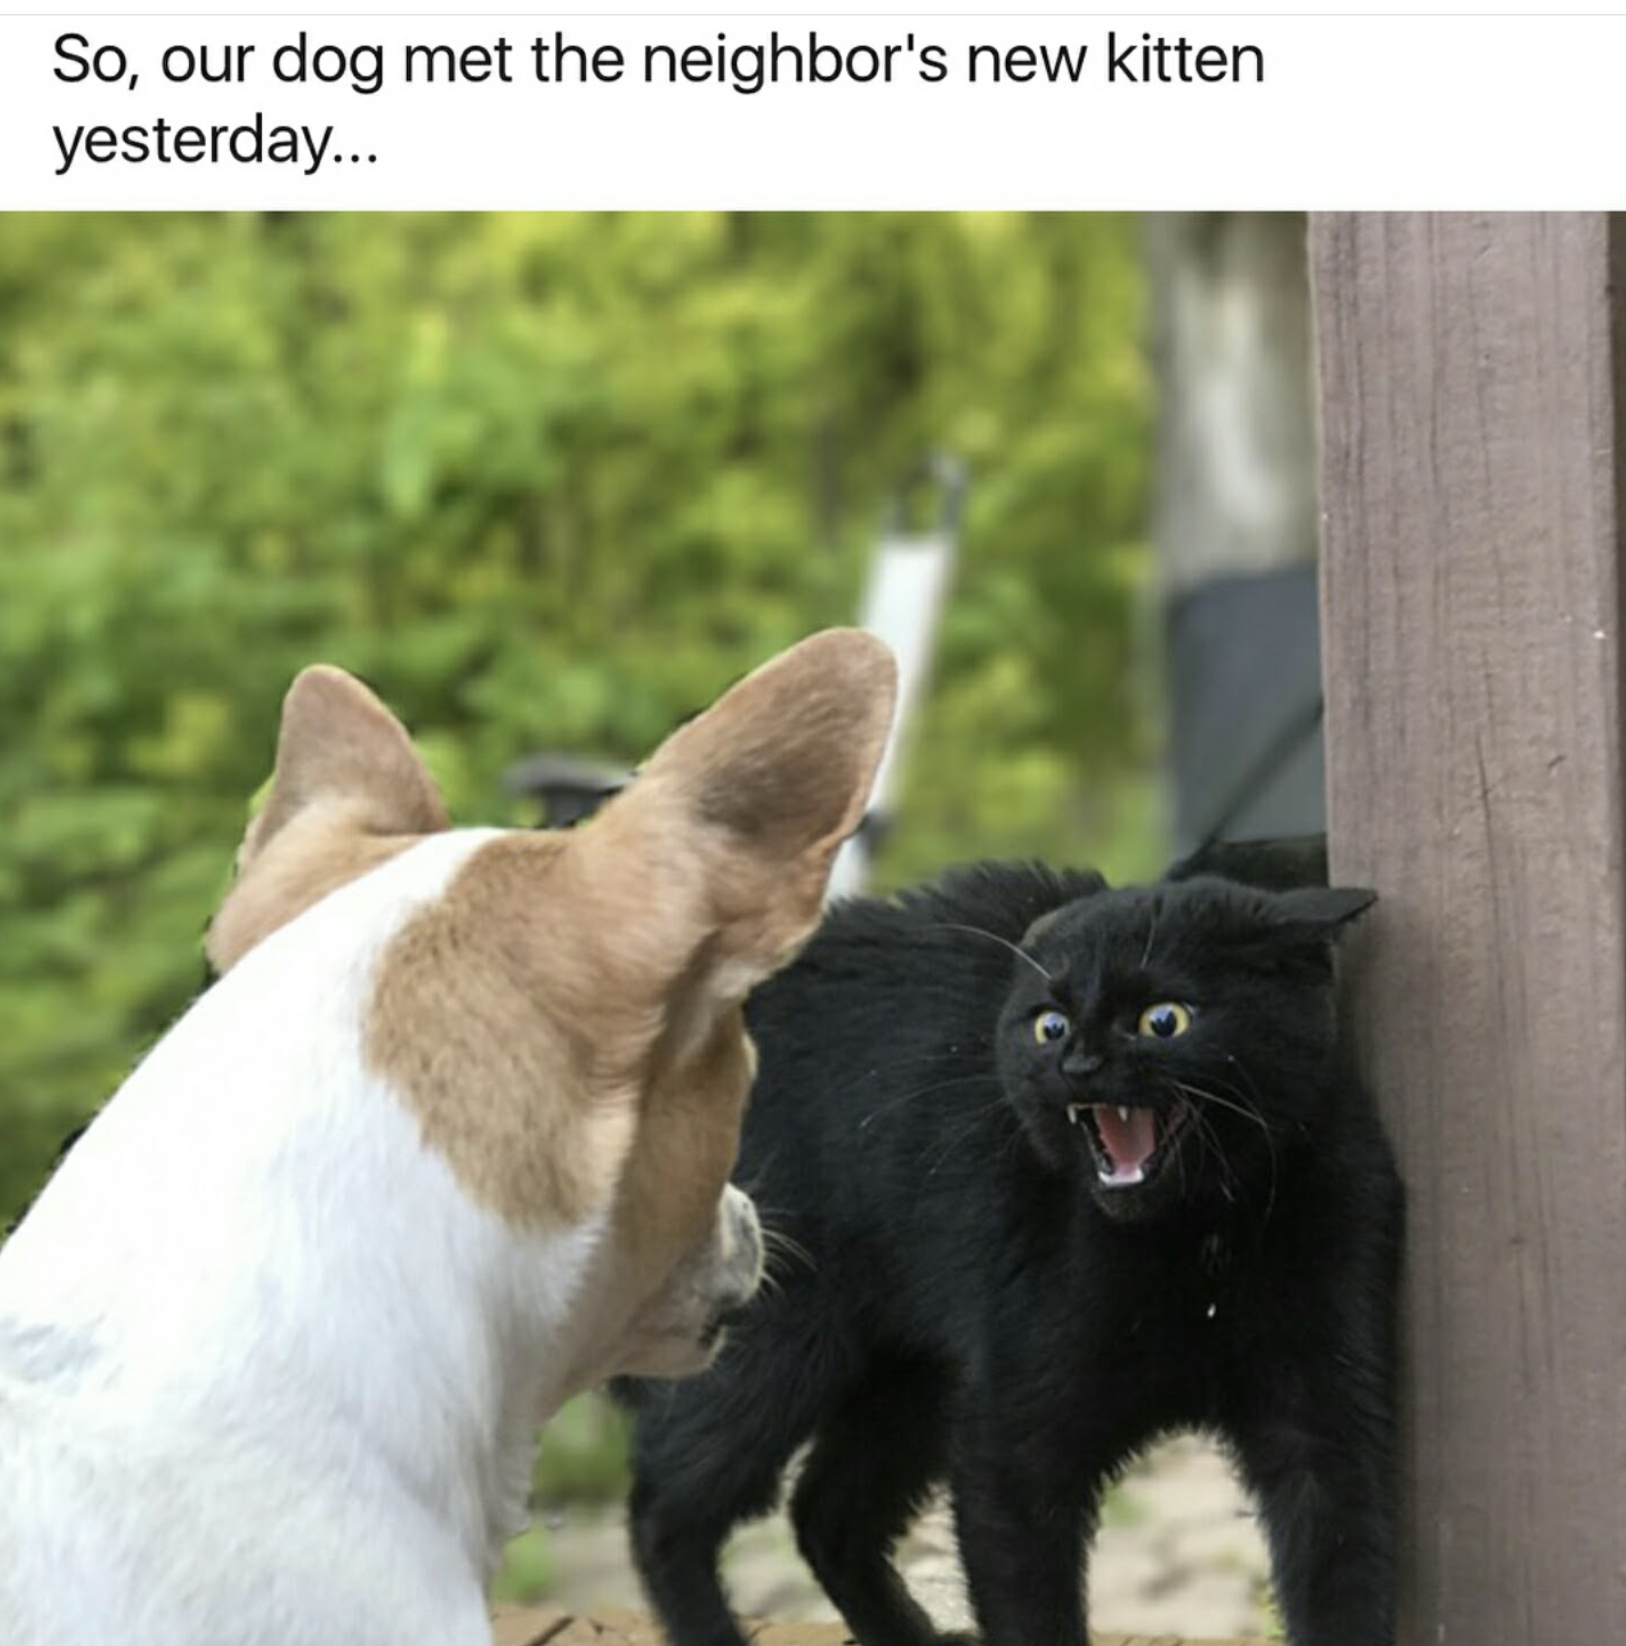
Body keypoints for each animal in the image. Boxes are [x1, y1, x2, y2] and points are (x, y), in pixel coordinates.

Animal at [615, 855, 1402, 1646]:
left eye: (1164, 1019)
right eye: (1049, 1025)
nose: (1078, 1062)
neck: (1195, 1242)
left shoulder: (1322, 1419)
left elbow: (1344, 1578)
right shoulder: (1015, 1440)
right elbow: (1030, 1609)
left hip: (909, 1378)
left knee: (825, 1515)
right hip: (768, 1344)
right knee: (664, 1509)